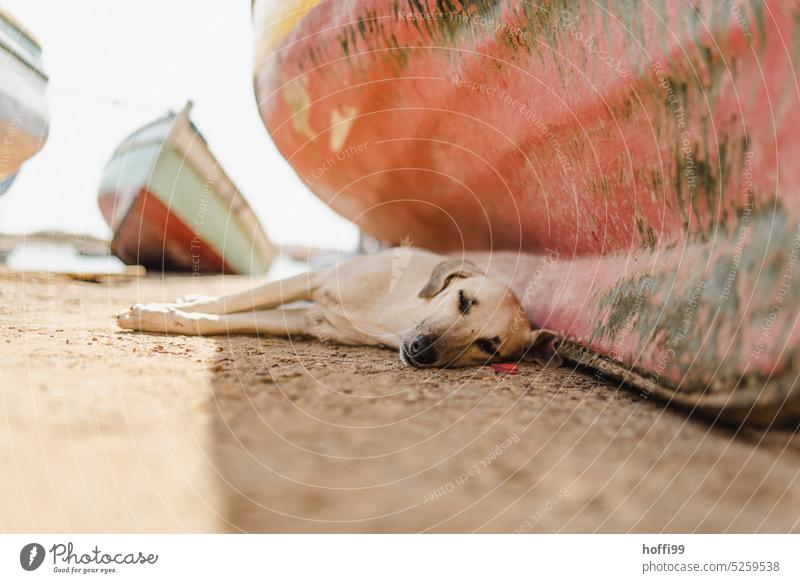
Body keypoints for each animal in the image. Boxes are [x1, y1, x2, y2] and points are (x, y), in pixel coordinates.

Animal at [117, 250, 564, 370]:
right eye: (464, 300)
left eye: (489, 346)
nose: (421, 351)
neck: (395, 315)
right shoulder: (311, 280)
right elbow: (224, 302)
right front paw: (154, 311)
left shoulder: (307, 320)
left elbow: (217, 319)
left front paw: (168, 315)